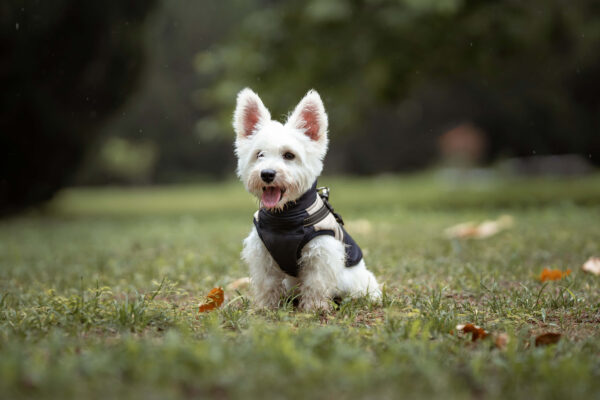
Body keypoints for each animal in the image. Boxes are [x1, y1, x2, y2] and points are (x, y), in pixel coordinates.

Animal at [233, 89, 380, 310]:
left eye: (289, 155)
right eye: (259, 154)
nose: (267, 174)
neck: (285, 217)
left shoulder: (321, 252)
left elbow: (315, 283)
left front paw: (314, 309)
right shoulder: (262, 254)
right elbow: (267, 283)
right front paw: (266, 308)